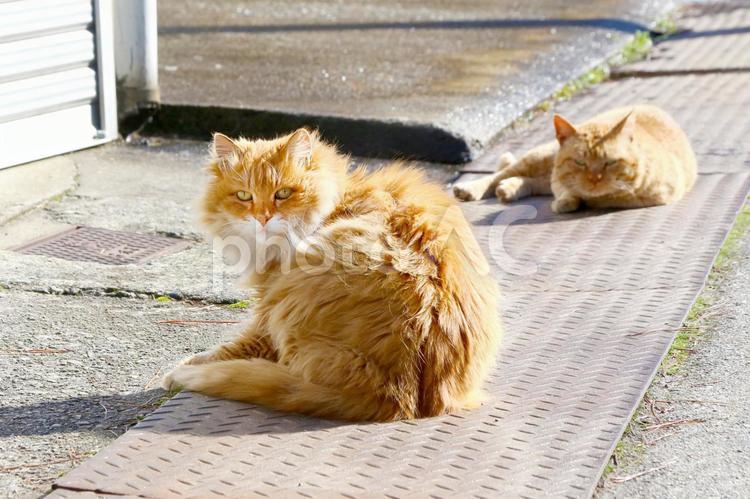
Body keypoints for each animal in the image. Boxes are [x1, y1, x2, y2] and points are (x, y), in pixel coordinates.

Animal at [165, 128, 506, 422]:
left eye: (283, 193)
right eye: (244, 196)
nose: (263, 218)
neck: (337, 201)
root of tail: (400, 396)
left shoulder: (266, 308)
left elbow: (233, 347)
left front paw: (181, 370)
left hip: (290, 302)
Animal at [452, 105, 700, 213]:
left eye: (610, 162)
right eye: (580, 162)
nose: (593, 179)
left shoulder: (656, 195)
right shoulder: (558, 177)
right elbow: (566, 189)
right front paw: (568, 199)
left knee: (528, 181)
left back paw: (509, 189)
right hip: (539, 157)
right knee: (501, 174)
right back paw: (470, 188)